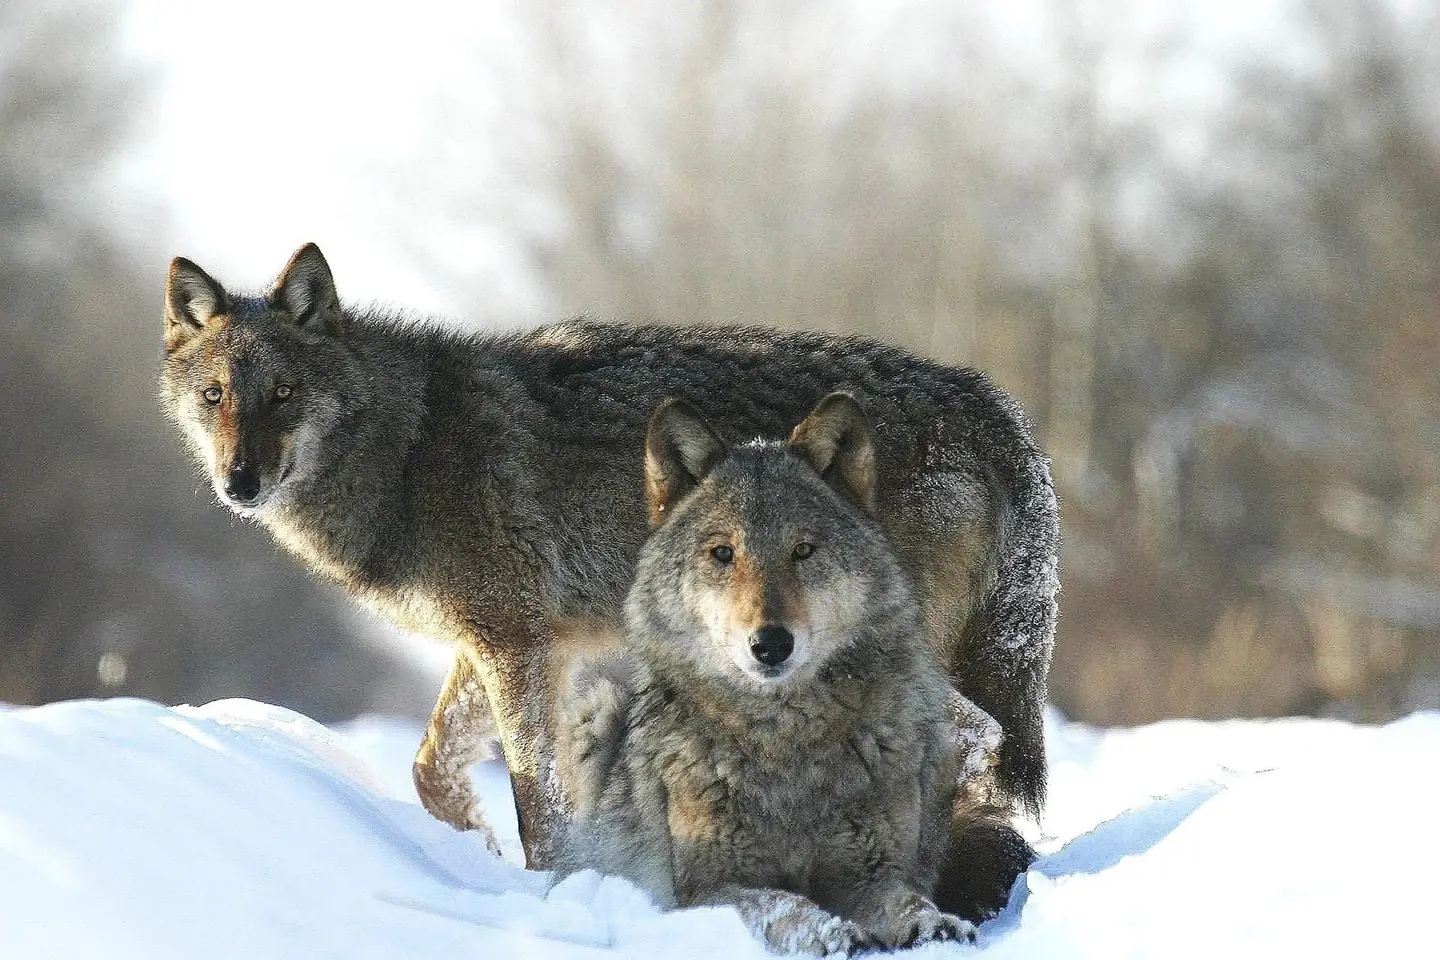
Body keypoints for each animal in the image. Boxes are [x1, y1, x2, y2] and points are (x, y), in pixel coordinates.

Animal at [556, 395, 1022, 954]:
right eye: (723, 553)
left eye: (803, 550)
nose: (771, 645)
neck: (784, 738)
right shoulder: (710, 888)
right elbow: (785, 904)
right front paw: (832, 932)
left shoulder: (872, 872)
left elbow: (908, 900)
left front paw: (934, 926)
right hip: (594, 707)